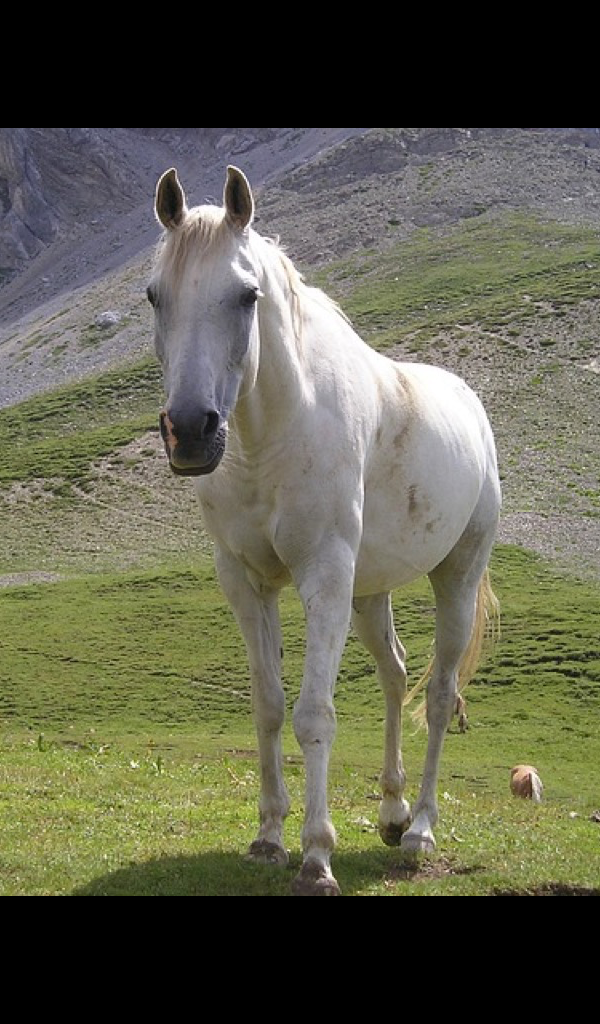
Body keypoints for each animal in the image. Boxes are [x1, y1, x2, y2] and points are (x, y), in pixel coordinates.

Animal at [148, 165, 501, 896]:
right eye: (154, 296)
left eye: (246, 295)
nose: (191, 431)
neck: (270, 438)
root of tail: (471, 404)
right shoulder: (247, 584)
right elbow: (268, 705)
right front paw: (267, 837)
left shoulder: (323, 580)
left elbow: (314, 714)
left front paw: (316, 856)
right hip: (369, 594)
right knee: (397, 675)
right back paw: (393, 812)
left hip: (454, 576)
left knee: (440, 692)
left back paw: (421, 829)